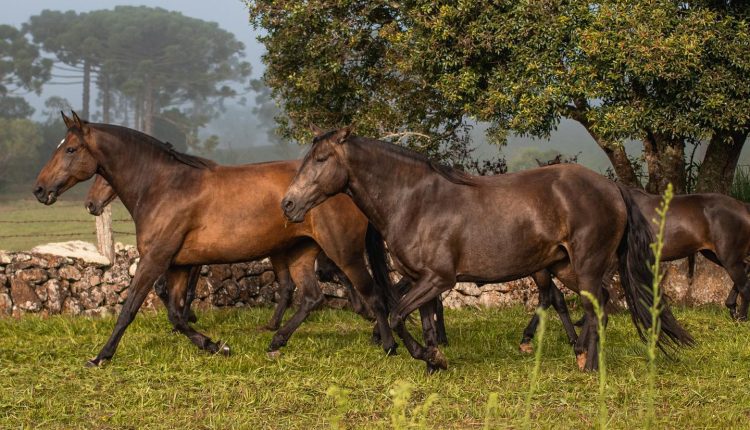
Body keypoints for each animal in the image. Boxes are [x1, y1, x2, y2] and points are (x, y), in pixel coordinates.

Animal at [84, 175, 376, 332]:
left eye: (104, 178)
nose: (91, 204)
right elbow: (166, 288)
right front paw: (185, 319)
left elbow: (183, 289)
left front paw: (187, 317)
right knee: (295, 283)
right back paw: (274, 325)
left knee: (334, 274)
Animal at [284, 126, 696, 372]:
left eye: (320, 159)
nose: (288, 204)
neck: (415, 201)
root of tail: (612, 188)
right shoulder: (421, 280)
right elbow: (425, 322)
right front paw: (434, 361)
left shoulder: (439, 279)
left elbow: (399, 315)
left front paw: (428, 356)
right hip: (566, 267)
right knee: (600, 303)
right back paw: (579, 352)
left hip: (587, 264)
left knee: (596, 308)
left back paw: (589, 364)